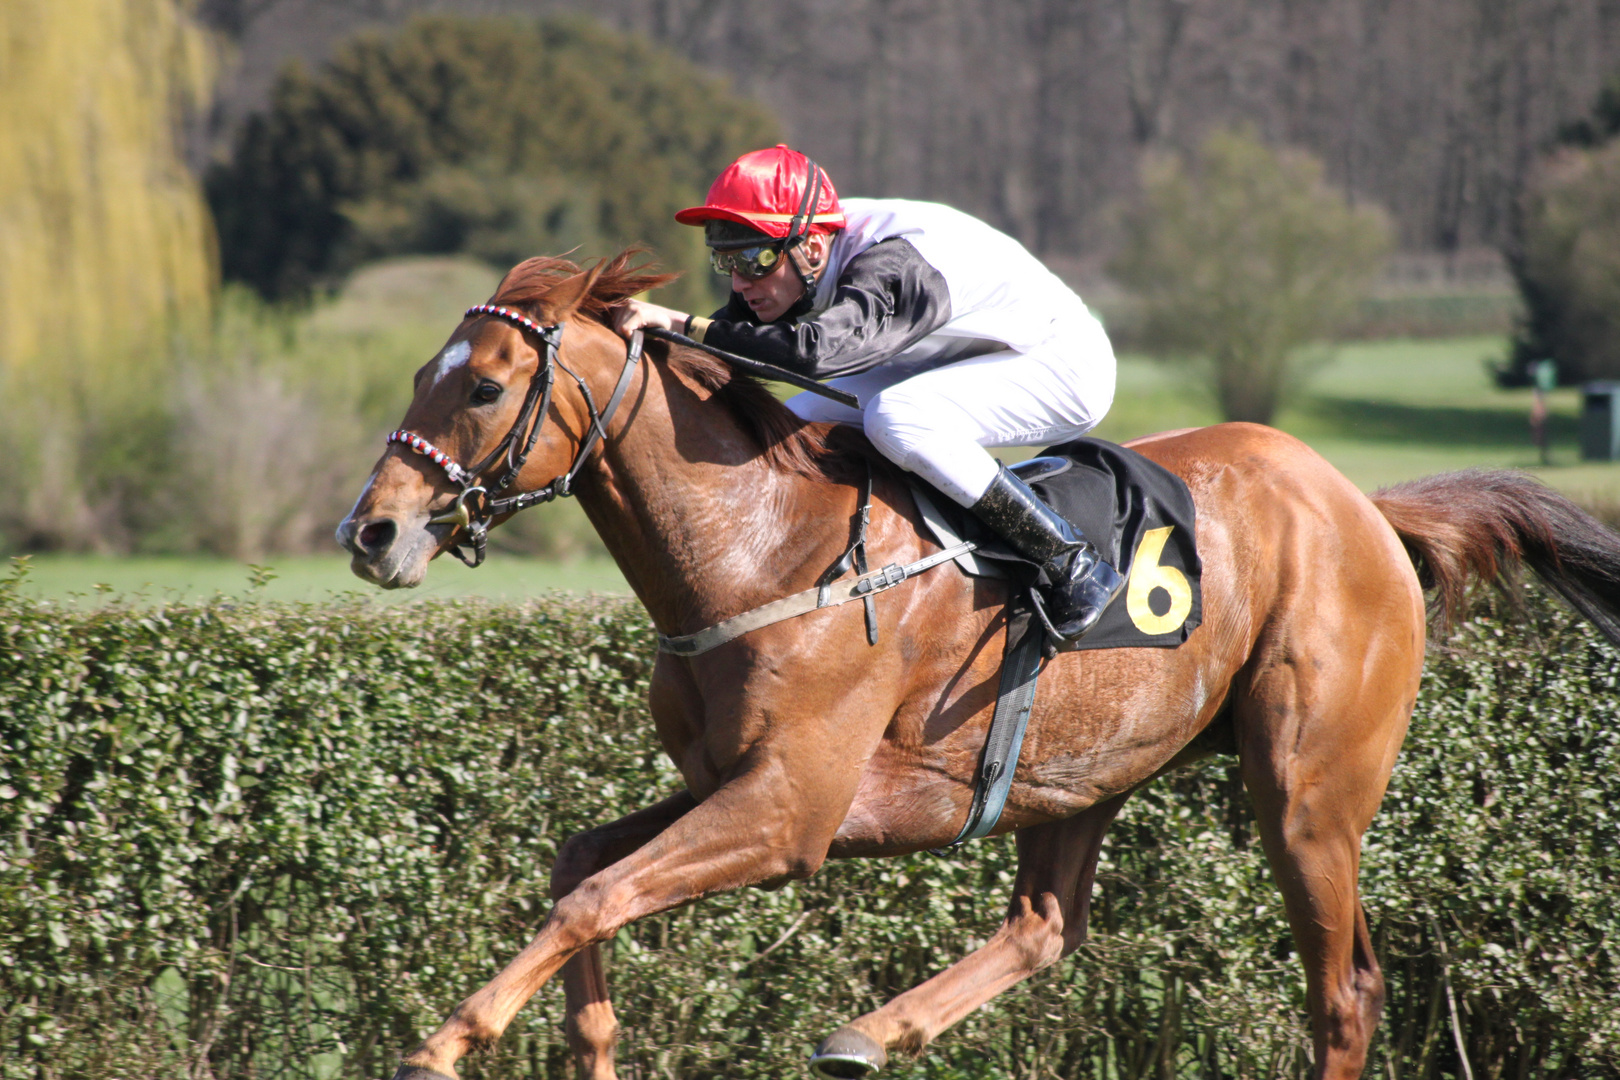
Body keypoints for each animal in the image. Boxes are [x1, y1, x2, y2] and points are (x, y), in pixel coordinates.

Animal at [335, 254, 1620, 1080]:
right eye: (423, 376)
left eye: (485, 385)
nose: (373, 531)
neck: (758, 542)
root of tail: (1363, 503)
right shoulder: (728, 784)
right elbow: (581, 870)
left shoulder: (791, 809)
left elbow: (594, 895)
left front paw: (440, 1043)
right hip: (1079, 768)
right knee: (1047, 926)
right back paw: (869, 1034)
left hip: (1307, 788)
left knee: (1344, 990)